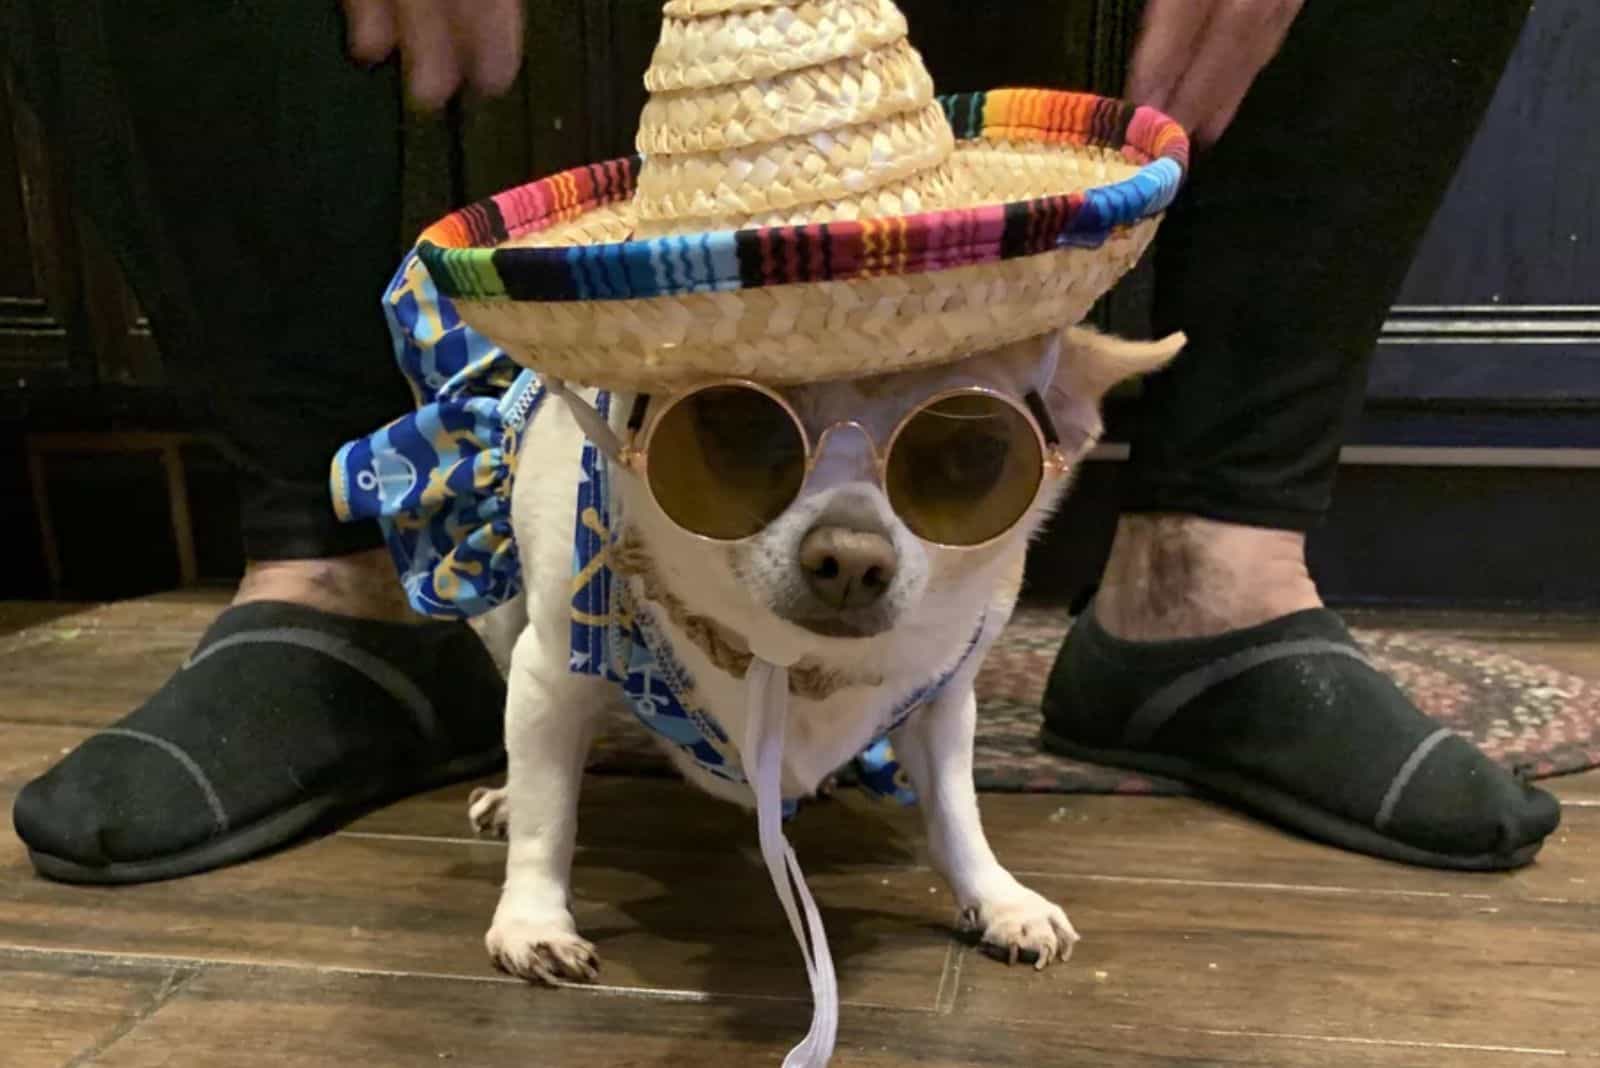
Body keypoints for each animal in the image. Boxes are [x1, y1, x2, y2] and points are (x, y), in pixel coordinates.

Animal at [467, 322, 1184, 984]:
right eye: (736, 424)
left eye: (974, 453)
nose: (852, 558)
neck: (789, 657)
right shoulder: (551, 675)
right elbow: (548, 811)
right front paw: (533, 920)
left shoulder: (943, 701)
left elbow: (957, 812)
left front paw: (999, 898)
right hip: (504, 616)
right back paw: (505, 798)